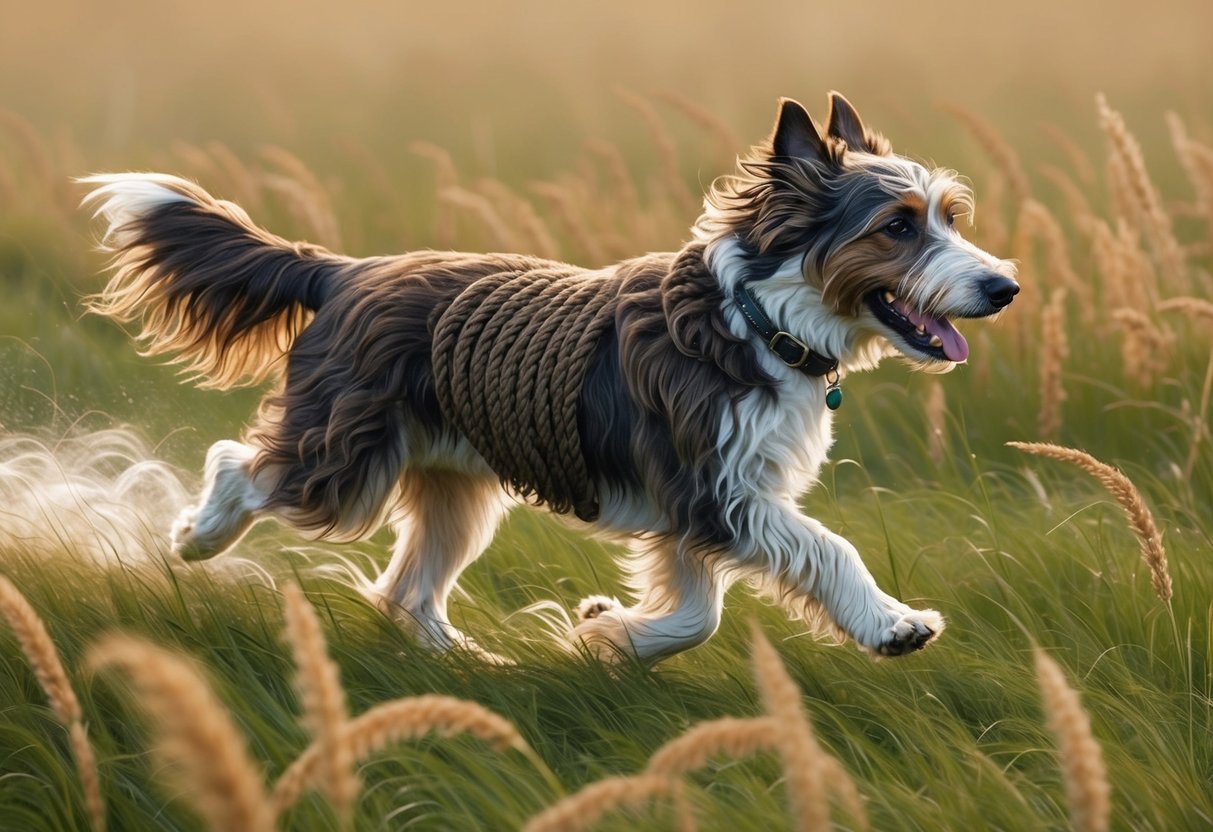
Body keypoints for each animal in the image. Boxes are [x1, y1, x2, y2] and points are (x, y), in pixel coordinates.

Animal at [80, 90, 1018, 664]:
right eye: (896, 226)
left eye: (948, 217)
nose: (1003, 288)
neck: (758, 320)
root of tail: (344, 271)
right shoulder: (715, 487)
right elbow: (823, 550)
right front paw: (892, 624)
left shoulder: (697, 505)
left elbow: (697, 613)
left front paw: (607, 637)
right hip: (345, 464)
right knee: (242, 467)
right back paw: (196, 537)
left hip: (453, 485)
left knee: (406, 589)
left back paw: (469, 665)